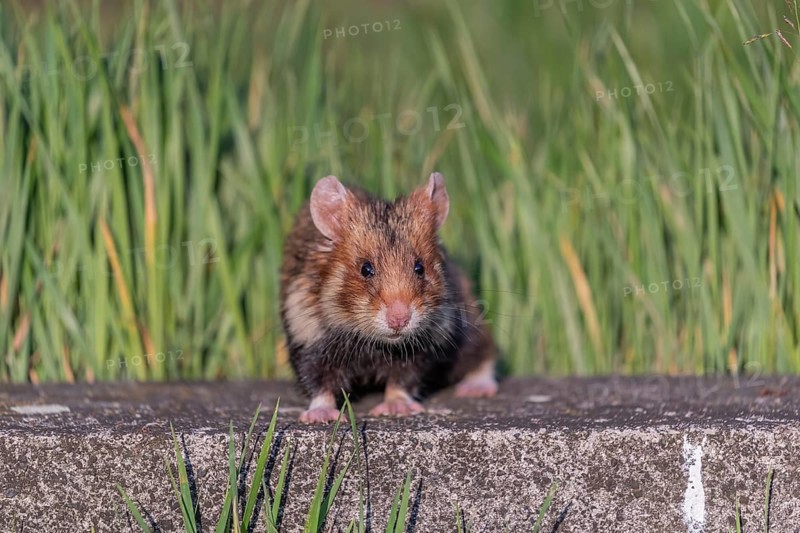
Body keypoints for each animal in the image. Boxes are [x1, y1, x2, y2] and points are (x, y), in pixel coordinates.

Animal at [279, 172, 498, 423]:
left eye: (419, 267)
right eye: (365, 269)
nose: (399, 320)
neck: (374, 344)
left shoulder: (422, 345)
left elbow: (401, 380)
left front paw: (397, 408)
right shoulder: (308, 337)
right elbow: (319, 383)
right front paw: (321, 417)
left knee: (483, 352)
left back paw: (476, 389)